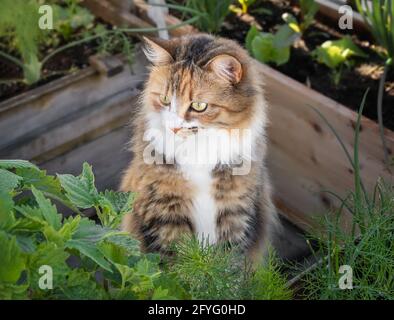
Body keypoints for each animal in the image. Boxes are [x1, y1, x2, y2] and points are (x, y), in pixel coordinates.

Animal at [120, 33, 278, 262]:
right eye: (165, 100)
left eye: (199, 106)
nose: (174, 127)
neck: (198, 150)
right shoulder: (165, 215)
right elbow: (176, 265)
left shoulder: (236, 213)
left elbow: (230, 265)